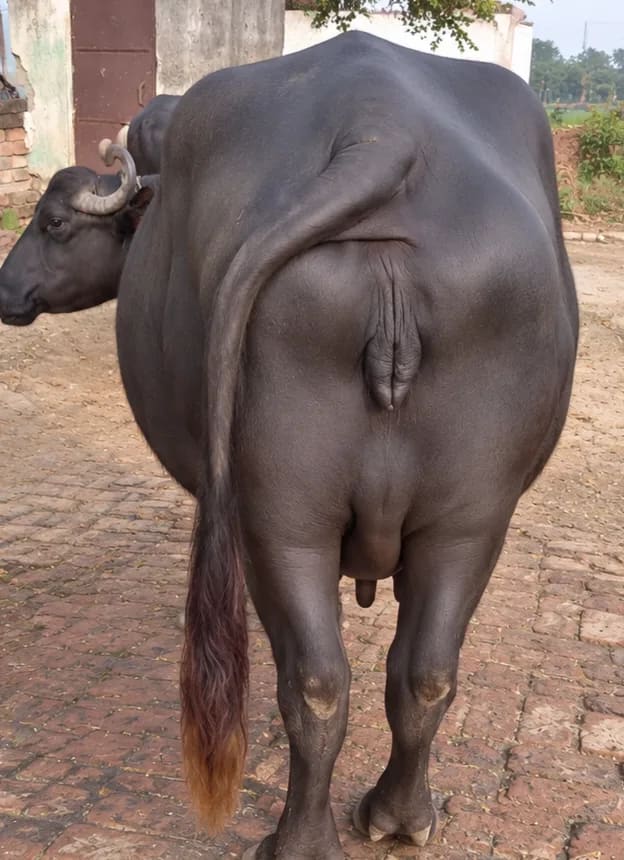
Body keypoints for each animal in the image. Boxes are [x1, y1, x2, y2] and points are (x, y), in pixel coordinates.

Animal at [0, 33, 578, 859]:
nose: (5, 290)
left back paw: (298, 840)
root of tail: (380, 135)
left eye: (51, 222)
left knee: (314, 680)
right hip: (469, 518)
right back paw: (400, 816)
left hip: (280, 518)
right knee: (424, 672)